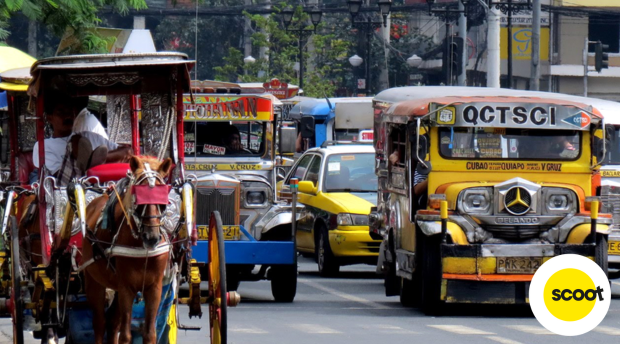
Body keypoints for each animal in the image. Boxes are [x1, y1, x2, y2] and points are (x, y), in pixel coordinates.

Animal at [81, 156, 172, 344]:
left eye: (163, 199)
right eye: (138, 198)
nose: (151, 237)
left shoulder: (154, 288)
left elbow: (149, 333)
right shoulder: (126, 288)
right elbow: (125, 335)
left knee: (112, 322)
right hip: (94, 281)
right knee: (99, 322)